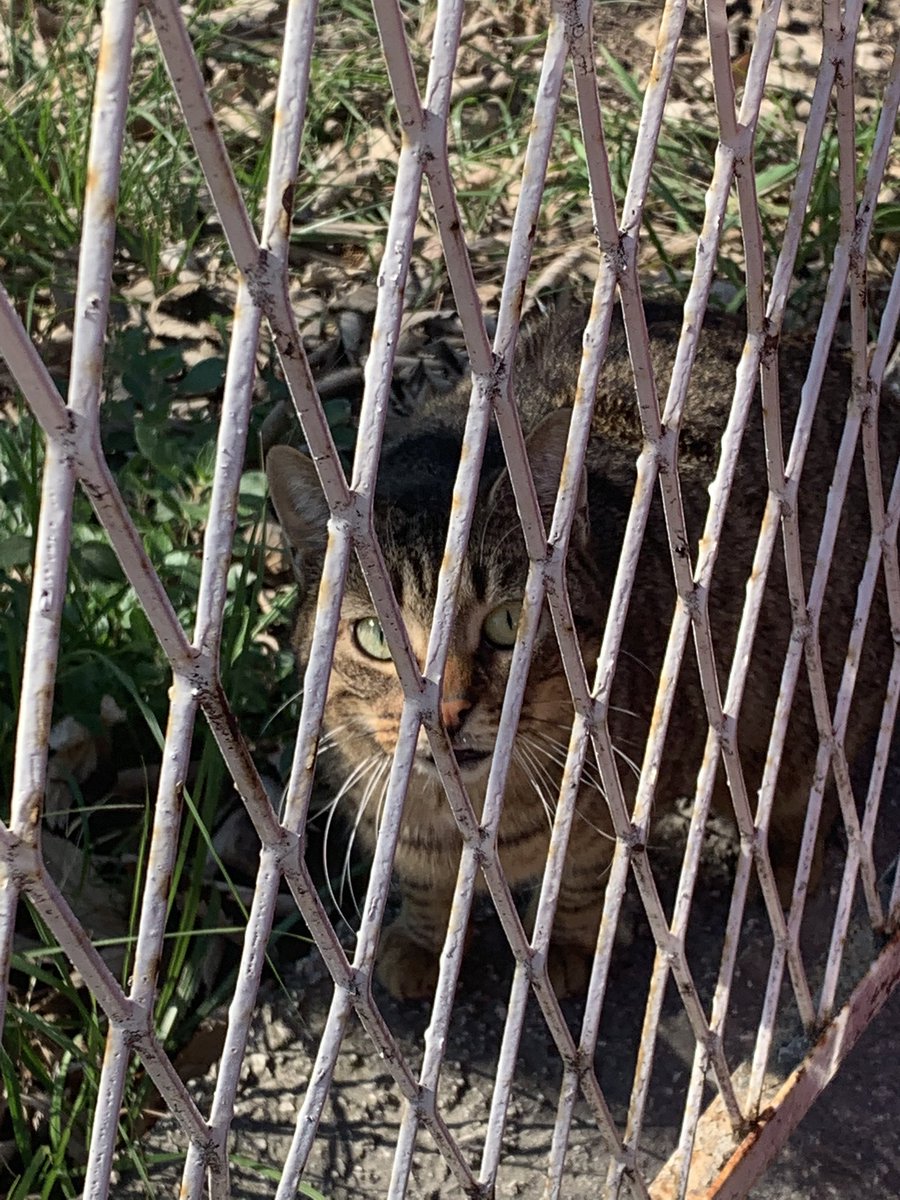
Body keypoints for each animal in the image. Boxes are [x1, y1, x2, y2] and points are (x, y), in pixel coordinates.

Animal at [264, 302, 897, 1003]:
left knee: (800, 803)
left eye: (507, 622)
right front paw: (424, 941)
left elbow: (580, 875)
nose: (448, 710)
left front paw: (566, 943)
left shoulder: (616, 812)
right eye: (377, 636)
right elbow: (423, 884)